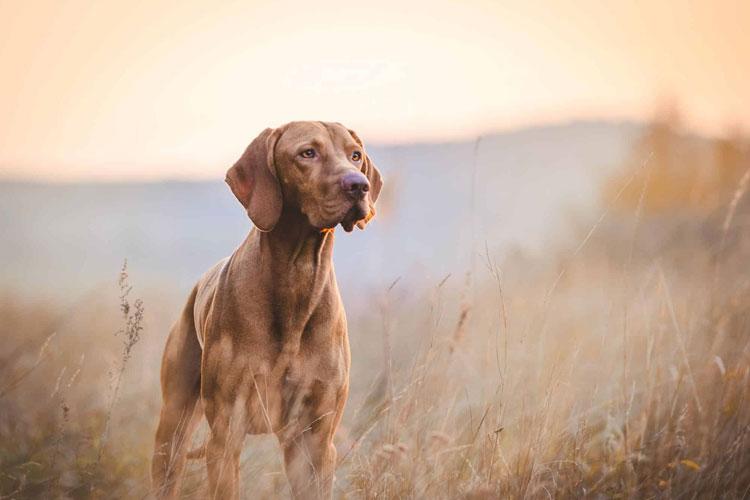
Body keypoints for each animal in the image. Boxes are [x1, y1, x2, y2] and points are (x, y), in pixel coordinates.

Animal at [154, 122, 388, 500]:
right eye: (308, 153)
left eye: (355, 155)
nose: (359, 185)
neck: (297, 277)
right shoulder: (226, 435)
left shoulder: (315, 440)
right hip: (172, 428)